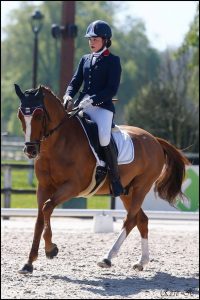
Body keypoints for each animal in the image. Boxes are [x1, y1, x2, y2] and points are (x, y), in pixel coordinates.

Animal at [14, 84, 189, 274]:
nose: (30, 150)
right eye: (20, 115)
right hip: (126, 191)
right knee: (141, 220)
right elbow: (40, 218)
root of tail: (154, 139)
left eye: (39, 115)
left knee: (130, 220)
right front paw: (29, 263)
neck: (58, 144)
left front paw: (51, 249)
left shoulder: (73, 186)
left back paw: (107, 258)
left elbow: (47, 208)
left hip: (141, 187)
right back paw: (141, 262)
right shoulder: (43, 187)